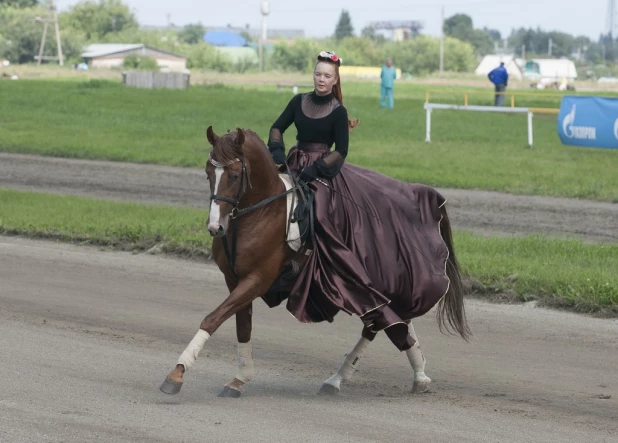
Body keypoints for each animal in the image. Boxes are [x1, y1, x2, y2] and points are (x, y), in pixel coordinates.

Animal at [159, 125, 466, 398]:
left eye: (234, 175)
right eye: (208, 173)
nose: (215, 227)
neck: (259, 214)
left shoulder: (257, 280)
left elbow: (213, 318)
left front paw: (176, 374)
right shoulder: (234, 279)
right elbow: (241, 326)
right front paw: (238, 379)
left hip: (372, 284)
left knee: (378, 323)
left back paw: (346, 378)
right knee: (392, 320)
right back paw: (413, 373)